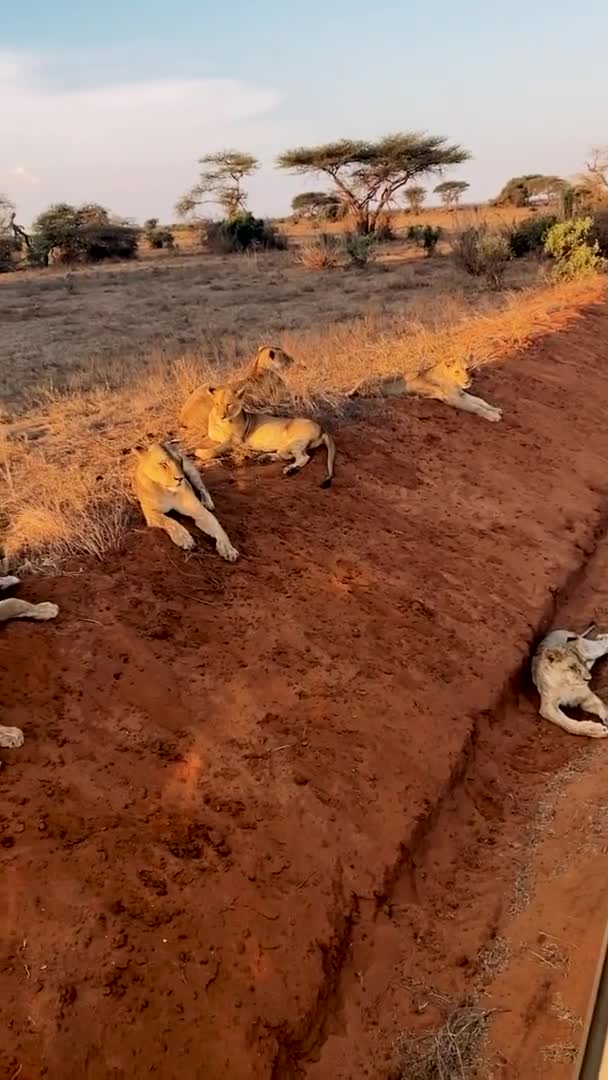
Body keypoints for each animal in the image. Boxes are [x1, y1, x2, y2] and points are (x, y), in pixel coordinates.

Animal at [196, 386, 334, 488]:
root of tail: (322, 428)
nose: (222, 416)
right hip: (286, 447)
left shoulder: (235, 440)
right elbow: (201, 443)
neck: (221, 423)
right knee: (285, 455)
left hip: (296, 443)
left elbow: (216, 449)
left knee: (303, 457)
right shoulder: (211, 437)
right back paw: (264, 458)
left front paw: (200, 453)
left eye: (229, 404)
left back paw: (289, 469)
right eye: (216, 404)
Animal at [349, 354, 501, 421]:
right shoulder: (453, 399)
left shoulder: (461, 394)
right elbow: (475, 407)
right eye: (457, 372)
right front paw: (493, 416)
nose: (467, 381)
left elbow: (480, 401)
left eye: (467, 369)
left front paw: (495, 409)